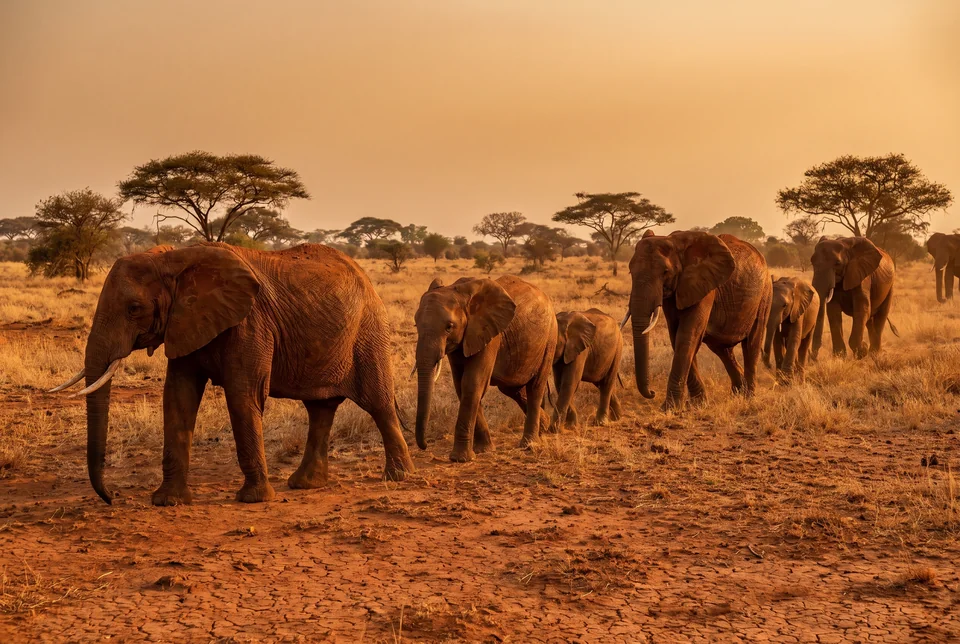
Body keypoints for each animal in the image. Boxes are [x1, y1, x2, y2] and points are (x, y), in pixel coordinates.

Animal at [48, 243, 415, 506]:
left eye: (134, 309)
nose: (112, 498)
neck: (174, 259)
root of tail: (364, 275)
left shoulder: (250, 323)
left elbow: (242, 395)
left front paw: (253, 500)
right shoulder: (186, 322)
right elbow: (178, 398)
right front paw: (168, 502)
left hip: (369, 331)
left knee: (378, 403)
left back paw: (399, 477)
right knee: (320, 410)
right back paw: (304, 485)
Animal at [414, 275, 557, 461]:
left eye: (449, 327)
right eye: (416, 324)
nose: (424, 445)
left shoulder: (489, 335)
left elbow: (472, 383)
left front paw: (460, 459)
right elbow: (460, 385)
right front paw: (484, 450)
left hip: (550, 338)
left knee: (535, 387)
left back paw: (529, 444)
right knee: (513, 389)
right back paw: (544, 427)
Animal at [625, 230, 772, 411]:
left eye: (665, 272)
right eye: (630, 272)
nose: (652, 392)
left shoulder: (704, 287)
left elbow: (687, 335)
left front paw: (670, 408)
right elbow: (676, 336)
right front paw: (698, 403)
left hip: (765, 294)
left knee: (752, 343)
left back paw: (748, 398)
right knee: (722, 349)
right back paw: (738, 393)